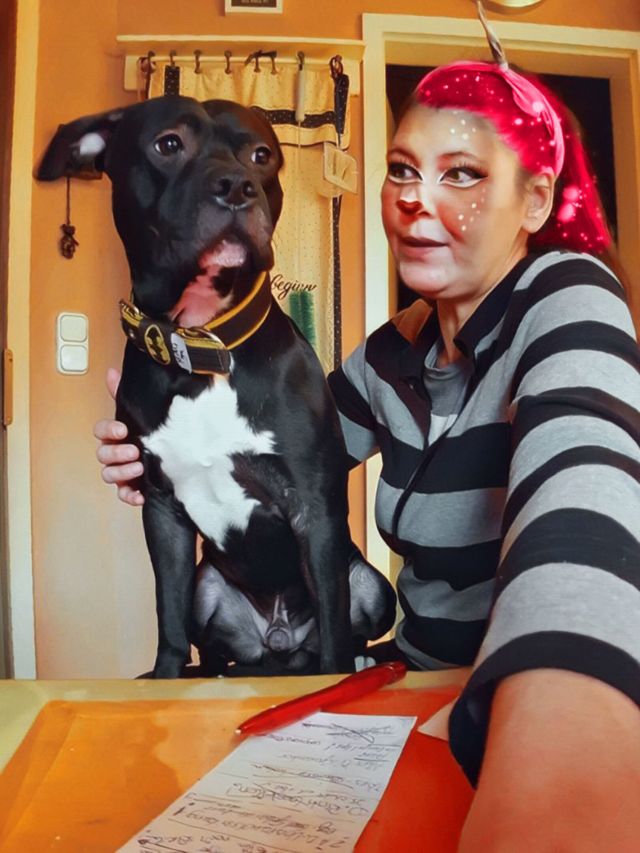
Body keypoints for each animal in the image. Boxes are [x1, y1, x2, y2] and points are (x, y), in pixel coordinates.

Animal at [37, 95, 396, 677]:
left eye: (262, 155)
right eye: (168, 144)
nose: (237, 186)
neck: (199, 348)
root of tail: (279, 644)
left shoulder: (313, 509)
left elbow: (335, 626)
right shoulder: (163, 513)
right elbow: (168, 620)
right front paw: (164, 678)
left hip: (369, 584)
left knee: (348, 630)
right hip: (207, 588)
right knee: (210, 646)